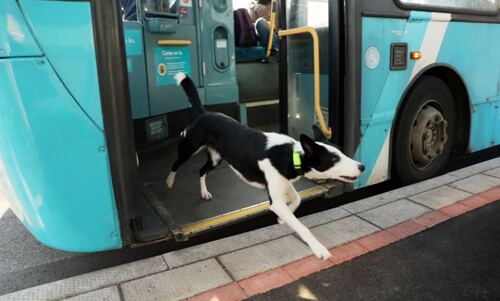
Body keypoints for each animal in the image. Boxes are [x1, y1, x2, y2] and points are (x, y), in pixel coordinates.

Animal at [166, 72, 366, 258]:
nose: (362, 166)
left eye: (342, 152)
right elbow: (301, 225)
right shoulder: (276, 197)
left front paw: (283, 219)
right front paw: (319, 249)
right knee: (176, 164)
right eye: (335, 159)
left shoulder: (283, 183)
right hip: (188, 148)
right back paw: (169, 181)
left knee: (201, 170)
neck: (291, 155)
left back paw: (204, 192)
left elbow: (297, 200)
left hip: (216, 158)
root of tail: (203, 112)